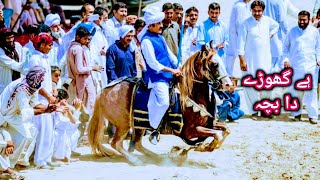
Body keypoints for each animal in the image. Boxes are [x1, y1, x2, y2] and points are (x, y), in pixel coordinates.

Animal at [88, 46, 230, 165]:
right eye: (215, 64)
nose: (228, 84)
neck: (191, 95)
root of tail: (103, 92)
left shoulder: (208, 124)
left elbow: (226, 130)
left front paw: (201, 147)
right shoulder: (190, 131)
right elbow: (217, 135)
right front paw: (204, 147)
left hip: (138, 125)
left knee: (137, 144)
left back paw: (159, 158)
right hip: (124, 124)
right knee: (116, 144)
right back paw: (137, 161)